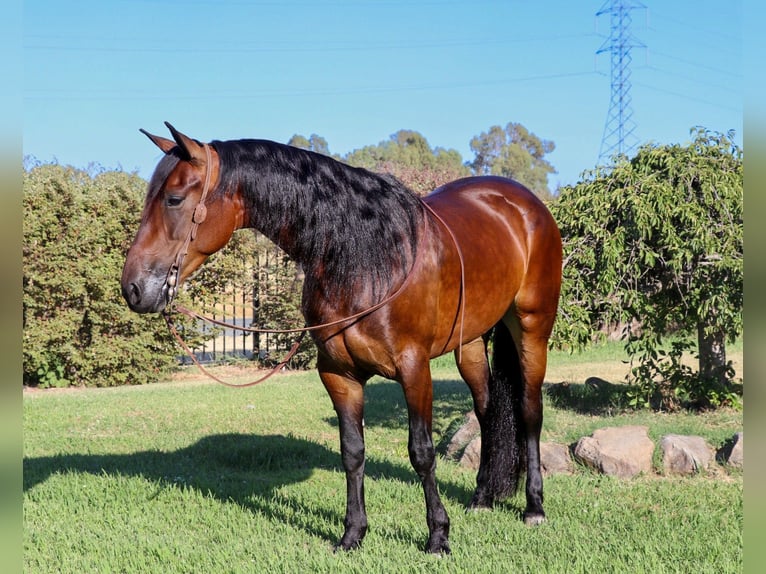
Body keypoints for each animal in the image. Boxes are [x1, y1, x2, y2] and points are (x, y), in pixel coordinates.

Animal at [121, 124, 564, 556]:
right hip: (468, 343)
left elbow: (421, 452)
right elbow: (352, 452)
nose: (133, 288)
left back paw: (534, 507)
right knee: (488, 410)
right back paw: (482, 497)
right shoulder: (338, 374)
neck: (368, 258)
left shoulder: (414, 369)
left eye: (174, 199)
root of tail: (524, 203)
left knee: (529, 411)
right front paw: (353, 534)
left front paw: (438, 536)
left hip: (531, 329)